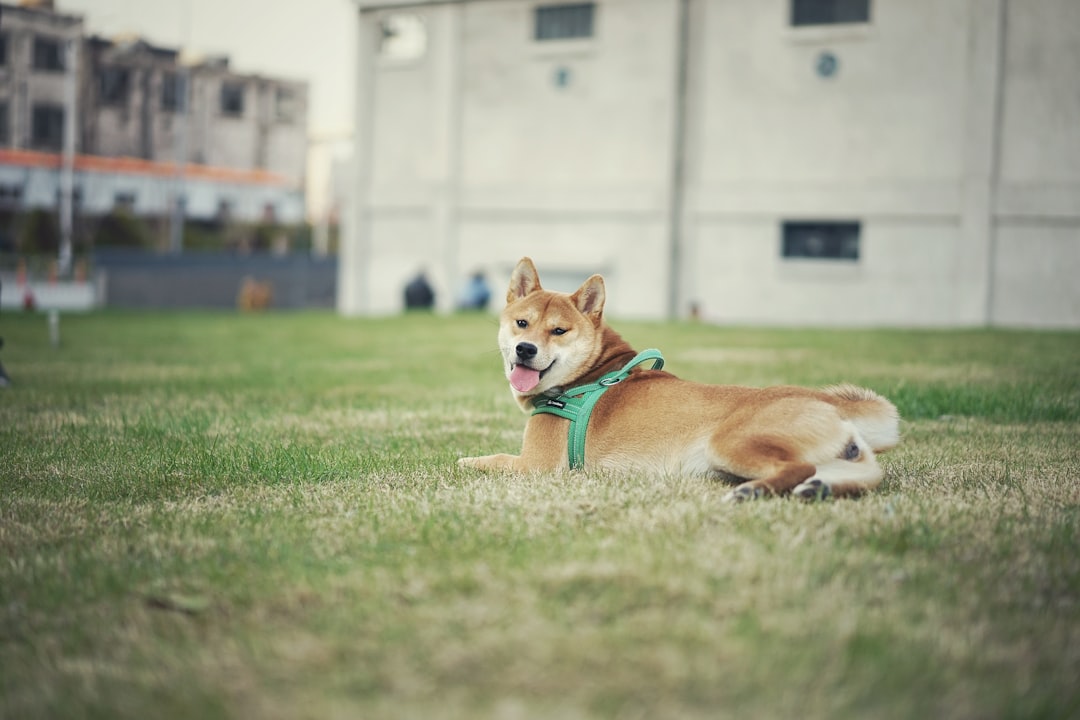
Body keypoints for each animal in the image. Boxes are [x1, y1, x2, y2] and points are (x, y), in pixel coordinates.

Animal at [457, 257, 902, 500]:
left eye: (558, 331)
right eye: (522, 323)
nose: (525, 350)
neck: (591, 376)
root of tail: (830, 405)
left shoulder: (536, 465)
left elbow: (487, 460)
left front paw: (464, 459)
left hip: (732, 441)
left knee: (800, 468)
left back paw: (756, 490)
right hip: (846, 457)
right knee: (857, 475)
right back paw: (818, 489)